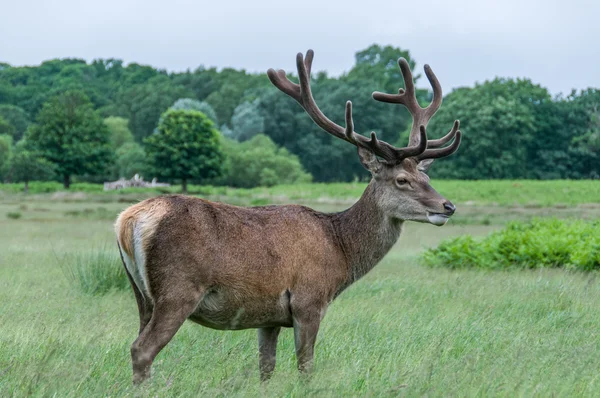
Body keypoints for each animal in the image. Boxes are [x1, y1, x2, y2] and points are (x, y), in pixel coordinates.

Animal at [115, 49, 462, 386]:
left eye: (426, 177)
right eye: (402, 180)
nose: (447, 206)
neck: (340, 249)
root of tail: (127, 220)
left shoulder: (267, 316)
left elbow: (265, 368)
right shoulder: (309, 300)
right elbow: (305, 367)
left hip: (141, 293)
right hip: (178, 288)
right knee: (141, 349)